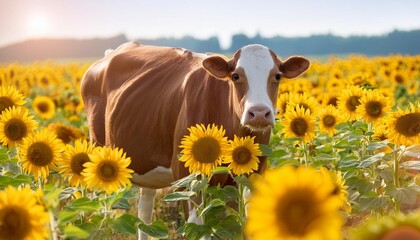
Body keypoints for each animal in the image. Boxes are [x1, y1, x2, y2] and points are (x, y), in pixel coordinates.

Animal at [80, 42, 310, 239]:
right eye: (236, 76)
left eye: (277, 76)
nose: (260, 113)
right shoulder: (187, 176)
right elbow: (199, 227)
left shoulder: (252, 175)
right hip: (100, 156)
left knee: (144, 211)